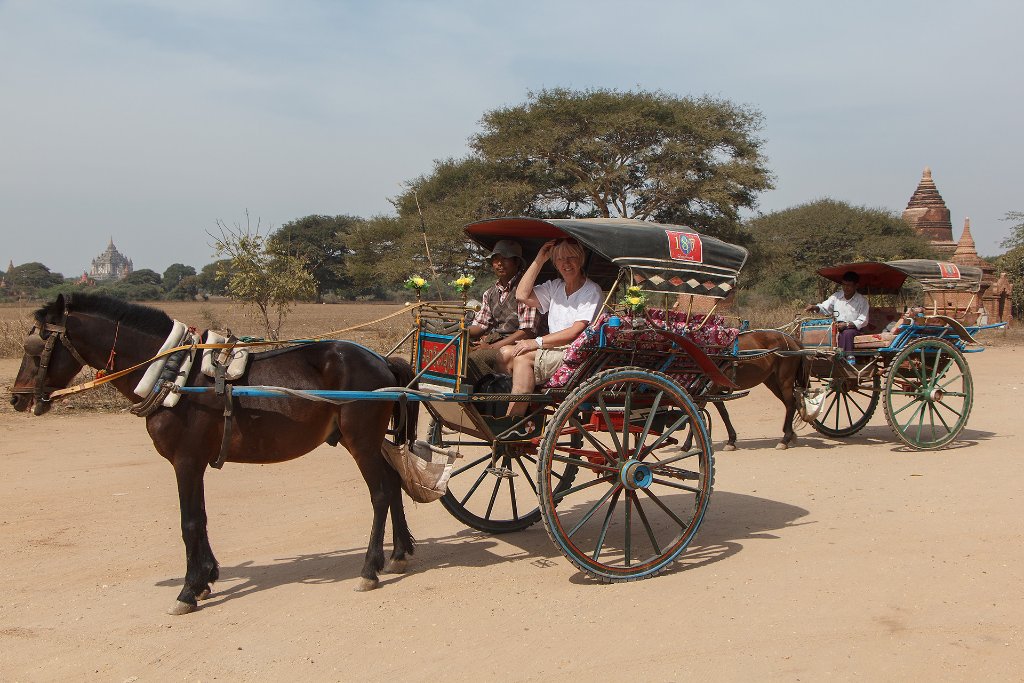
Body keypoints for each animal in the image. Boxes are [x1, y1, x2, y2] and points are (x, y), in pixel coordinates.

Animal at [9, 292, 417, 614]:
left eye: (35, 347)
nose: (17, 398)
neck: (174, 375)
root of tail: (381, 361)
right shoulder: (194, 463)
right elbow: (201, 518)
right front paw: (206, 578)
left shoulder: (185, 461)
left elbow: (188, 522)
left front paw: (188, 591)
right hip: (364, 441)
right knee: (393, 482)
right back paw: (398, 554)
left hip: (360, 440)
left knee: (380, 494)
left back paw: (369, 569)